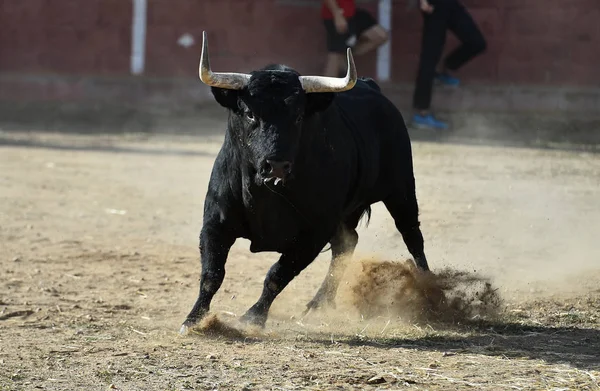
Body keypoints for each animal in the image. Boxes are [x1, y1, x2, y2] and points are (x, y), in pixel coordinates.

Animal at [180, 33, 428, 334]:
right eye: (250, 113)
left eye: (298, 116)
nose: (276, 165)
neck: (266, 193)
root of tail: (373, 88)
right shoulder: (215, 223)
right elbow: (212, 274)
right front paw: (193, 319)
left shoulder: (313, 234)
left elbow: (277, 274)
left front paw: (253, 317)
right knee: (347, 243)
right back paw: (319, 303)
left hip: (401, 189)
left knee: (412, 236)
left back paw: (431, 293)